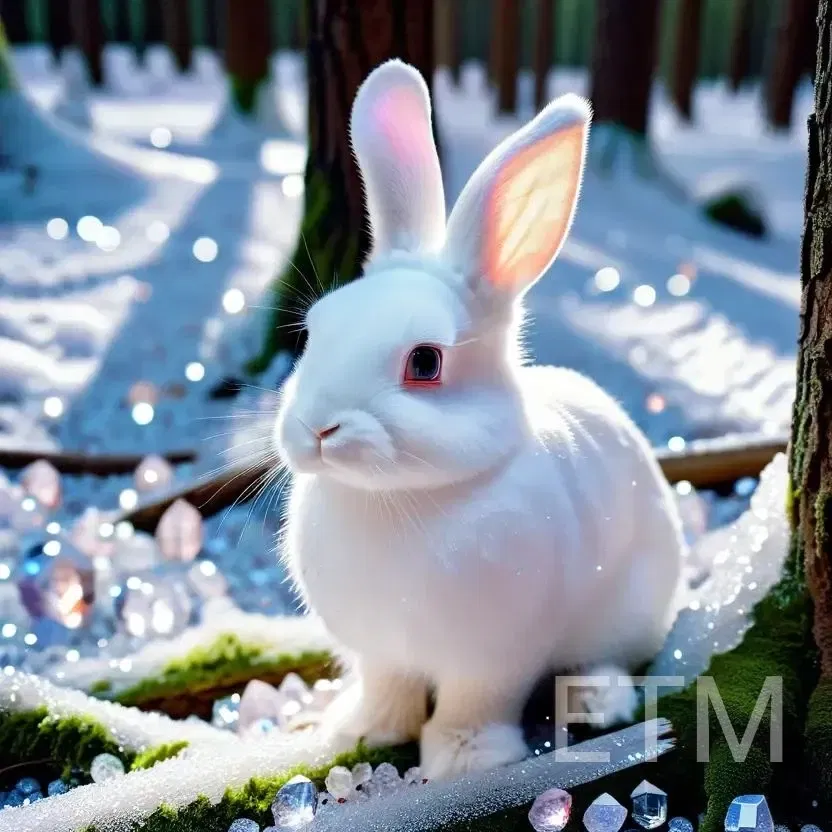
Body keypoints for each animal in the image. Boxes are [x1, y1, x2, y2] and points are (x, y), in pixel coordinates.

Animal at [275, 59, 685, 780]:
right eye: (315, 330)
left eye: (426, 362)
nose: (317, 429)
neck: (396, 501)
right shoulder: (381, 653)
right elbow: (387, 689)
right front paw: (362, 732)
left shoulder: (496, 659)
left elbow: (475, 704)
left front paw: (465, 763)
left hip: (631, 609)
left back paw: (595, 701)